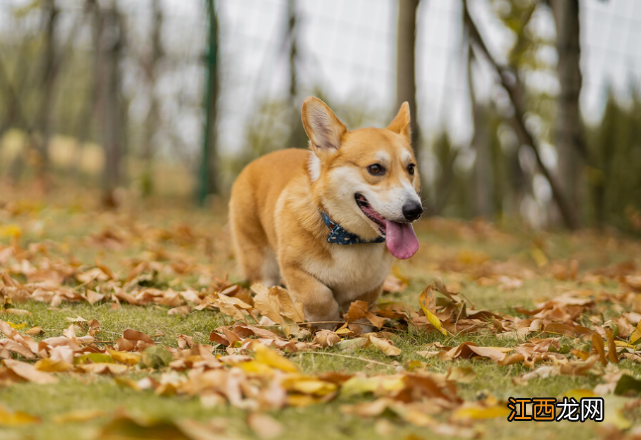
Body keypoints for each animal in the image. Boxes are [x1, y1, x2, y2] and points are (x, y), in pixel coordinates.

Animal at [229, 99, 420, 326]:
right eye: (375, 168)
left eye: (411, 168)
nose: (415, 210)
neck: (349, 237)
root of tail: (257, 161)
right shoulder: (294, 268)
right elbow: (319, 297)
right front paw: (326, 323)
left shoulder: (372, 284)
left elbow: (362, 309)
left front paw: (358, 327)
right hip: (261, 261)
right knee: (265, 288)